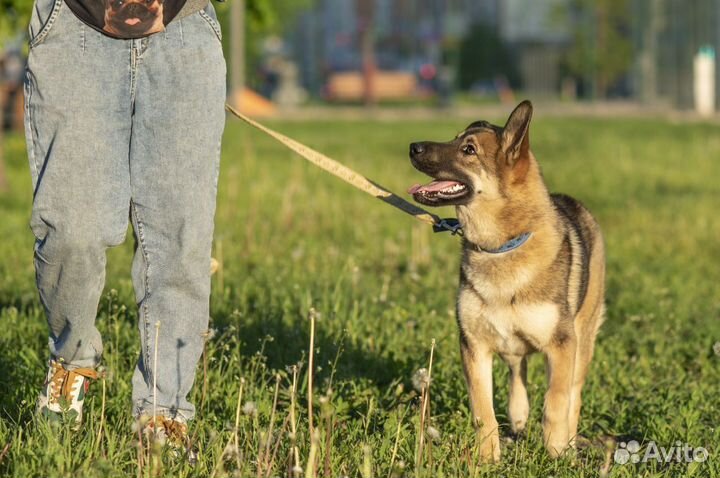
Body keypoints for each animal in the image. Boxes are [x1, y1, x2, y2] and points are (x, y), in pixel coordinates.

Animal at [408, 102, 604, 464]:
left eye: (468, 150)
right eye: (455, 139)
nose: (413, 146)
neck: (501, 246)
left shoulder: (562, 344)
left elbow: (556, 401)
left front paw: (556, 451)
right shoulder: (473, 345)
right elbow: (483, 410)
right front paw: (487, 458)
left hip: (584, 338)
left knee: (573, 392)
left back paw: (568, 439)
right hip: (508, 339)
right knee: (517, 370)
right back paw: (519, 416)